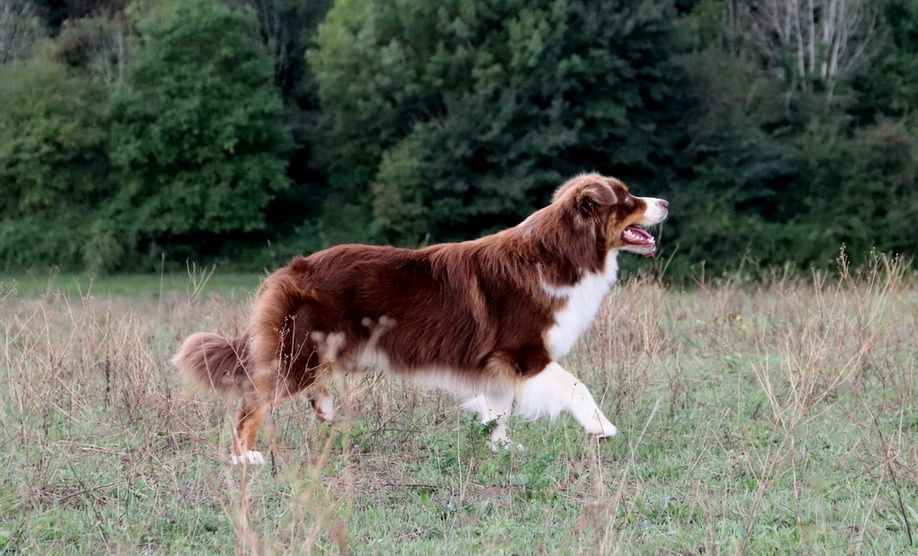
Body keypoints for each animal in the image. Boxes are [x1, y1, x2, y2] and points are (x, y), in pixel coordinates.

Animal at [172, 172, 668, 462]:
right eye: (627, 199)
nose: (664, 202)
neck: (565, 251)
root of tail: (286, 271)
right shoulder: (522, 352)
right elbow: (575, 385)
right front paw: (602, 428)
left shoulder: (496, 363)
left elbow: (499, 407)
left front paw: (501, 445)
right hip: (298, 353)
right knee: (252, 404)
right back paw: (245, 457)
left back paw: (327, 412)